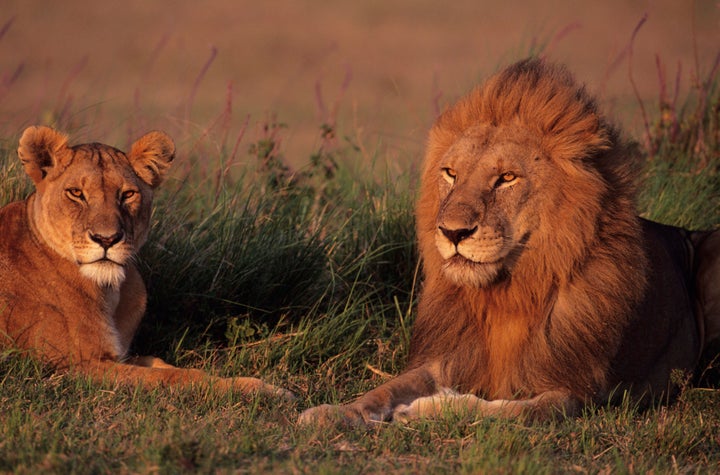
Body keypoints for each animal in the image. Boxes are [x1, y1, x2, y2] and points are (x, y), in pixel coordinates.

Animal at [0, 126, 292, 398]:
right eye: (75, 193)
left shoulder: (117, 356)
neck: (110, 291)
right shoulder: (70, 368)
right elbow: (176, 377)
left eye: (128, 195)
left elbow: (162, 363)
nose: (107, 239)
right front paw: (262, 390)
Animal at [300, 57, 720, 426]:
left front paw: (427, 408)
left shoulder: (575, 392)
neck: (507, 293)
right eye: (450, 173)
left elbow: (504, 410)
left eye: (506, 178)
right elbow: (383, 389)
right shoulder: (443, 358)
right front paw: (333, 412)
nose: (452, 232)